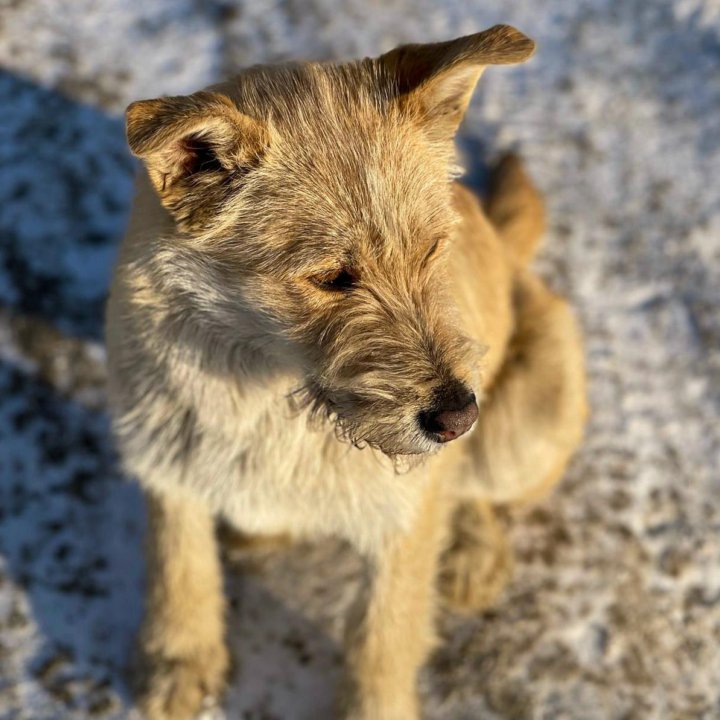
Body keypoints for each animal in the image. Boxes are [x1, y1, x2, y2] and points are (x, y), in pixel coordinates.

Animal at [108, 25, 592, 720]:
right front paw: (179, 662)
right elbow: (178, 567)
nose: (456, 417)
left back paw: (473, 550)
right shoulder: (166, 455)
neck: (273, 391)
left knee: (481, 489)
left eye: (431, 248)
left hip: (525, 427)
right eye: (332, 277)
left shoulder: (402, 520)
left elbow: (383, 639)